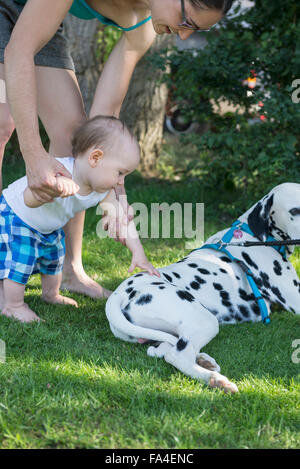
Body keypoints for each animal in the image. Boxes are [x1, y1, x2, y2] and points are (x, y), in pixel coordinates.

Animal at [105, 183, 300, 392]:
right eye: (294, 211)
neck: (255, 236)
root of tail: (118, 293)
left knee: (162, 349)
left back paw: (203, 360)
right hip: (205, 320)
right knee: (176, 355)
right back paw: (215, 380)